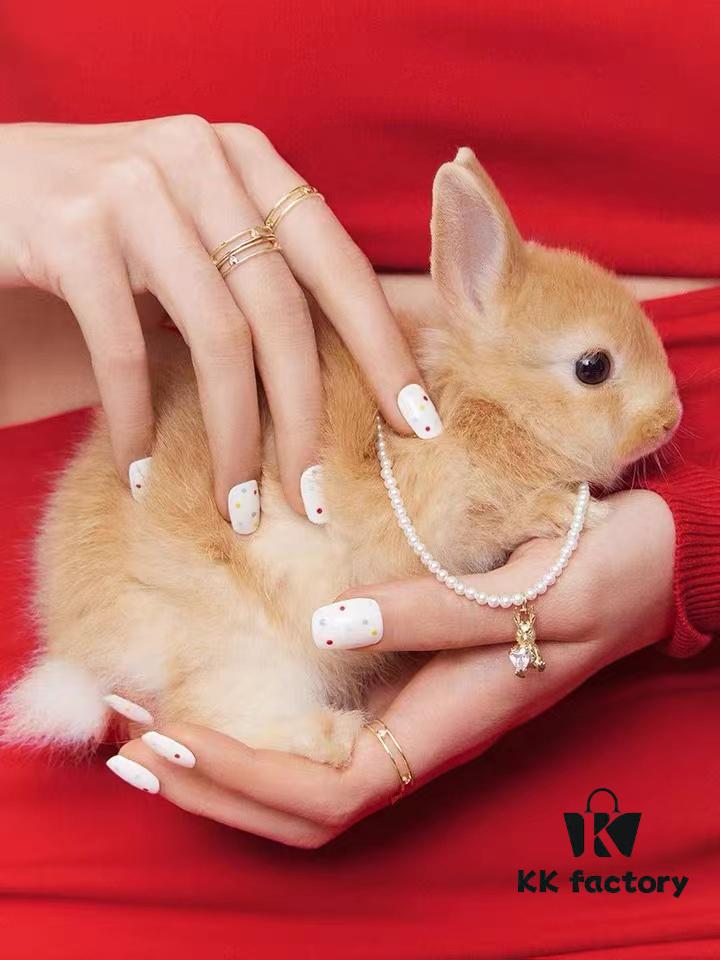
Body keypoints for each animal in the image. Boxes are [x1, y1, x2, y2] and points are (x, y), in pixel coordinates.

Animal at [0, 148, 681, 765]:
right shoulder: (451, 517)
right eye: (593, 367)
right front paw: (573, 512)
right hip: (238, 643)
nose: (669, 420)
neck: (481, 401)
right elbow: (503, 518)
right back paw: (330, 737)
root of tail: (80, 651)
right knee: (209, 714)